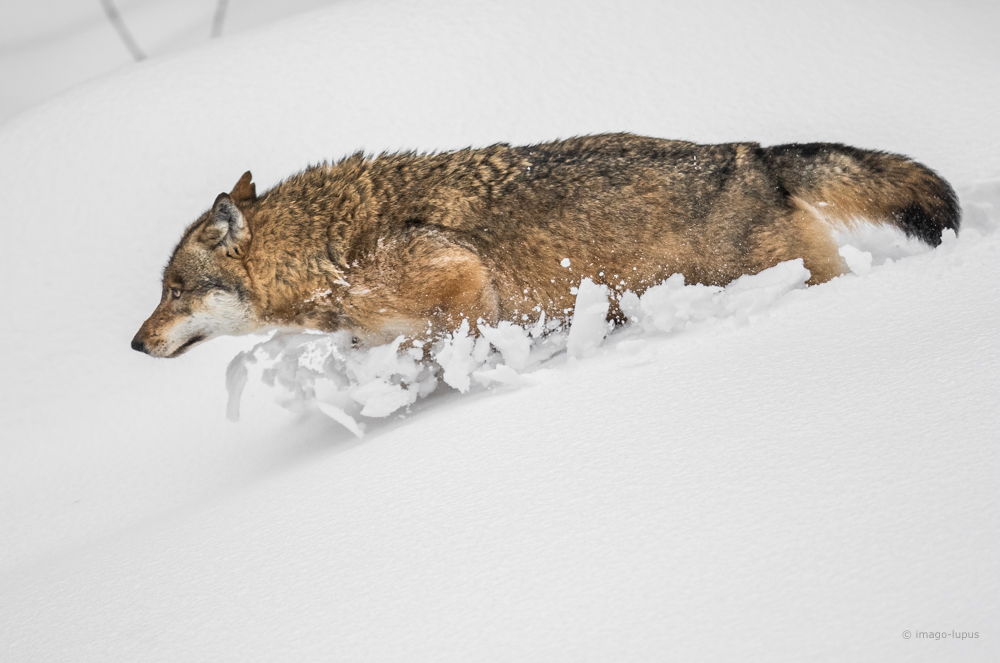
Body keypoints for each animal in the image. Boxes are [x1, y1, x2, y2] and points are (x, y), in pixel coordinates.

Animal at [129, 134, 956, 358]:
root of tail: (752, 153)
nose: (136, 343)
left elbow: (452, 342)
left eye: (173, 291)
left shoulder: (460, 277)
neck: (327, 252)